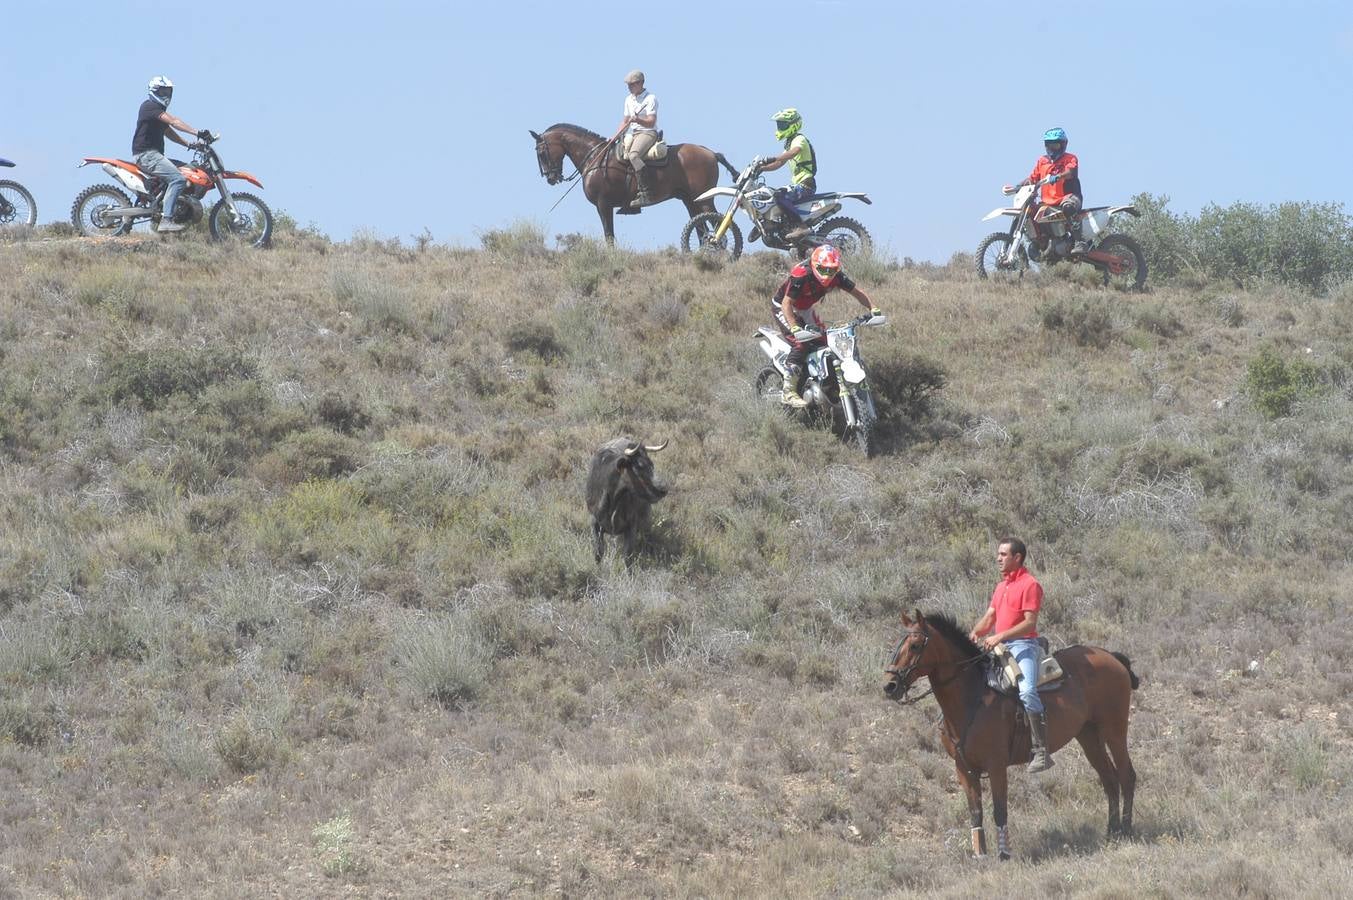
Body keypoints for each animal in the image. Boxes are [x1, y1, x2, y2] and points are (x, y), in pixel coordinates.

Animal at [530, 123, 741, 243]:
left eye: (541, 152)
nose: (551, 178)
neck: (594, 158)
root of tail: (711, 153)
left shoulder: (603, 204)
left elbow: (609, 236)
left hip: (704, 201)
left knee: (716, 227)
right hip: (690, 201)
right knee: (701, 230)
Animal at [584, 435, 668, 568]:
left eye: (651, 464)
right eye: (639, 466)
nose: (663, 489)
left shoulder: (631, 525)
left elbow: (628, 557)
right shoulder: (594, 522)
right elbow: (598, 552)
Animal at [882, 611, 1136, 855]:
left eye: (915, 646)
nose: (889, 685)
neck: (971, 697)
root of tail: (1111, 656)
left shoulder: (996, 766)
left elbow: (999, 810)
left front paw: (1004, 854)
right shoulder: (963, 769)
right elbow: (975, 812)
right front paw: (980, 855)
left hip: (1114, 730)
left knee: (1126, 776)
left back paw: (1126, 829)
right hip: (1088, 736)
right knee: (1109, 779)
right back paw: (1112, 831)